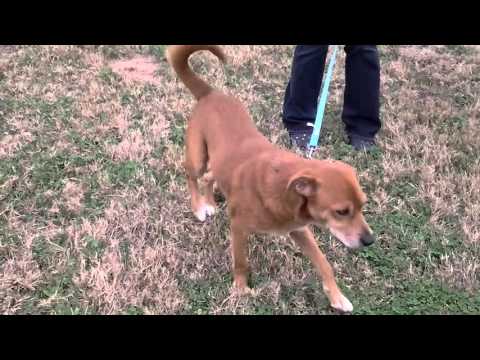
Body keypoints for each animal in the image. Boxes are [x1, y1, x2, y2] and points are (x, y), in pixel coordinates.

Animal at [166, 45, 376, 312]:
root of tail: (210, 94)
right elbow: (241, 263)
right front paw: (241, 289)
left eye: (363, 205)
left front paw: (337, 297)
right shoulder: (239, 227)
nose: (370, 240)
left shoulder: (299, 229)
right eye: (341, 212)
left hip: (218, 161)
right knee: (192, 176)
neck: (285, 188)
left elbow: (324, 263)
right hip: (197, 156)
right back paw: (198, 207)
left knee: (209, 177)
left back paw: (210, 202)